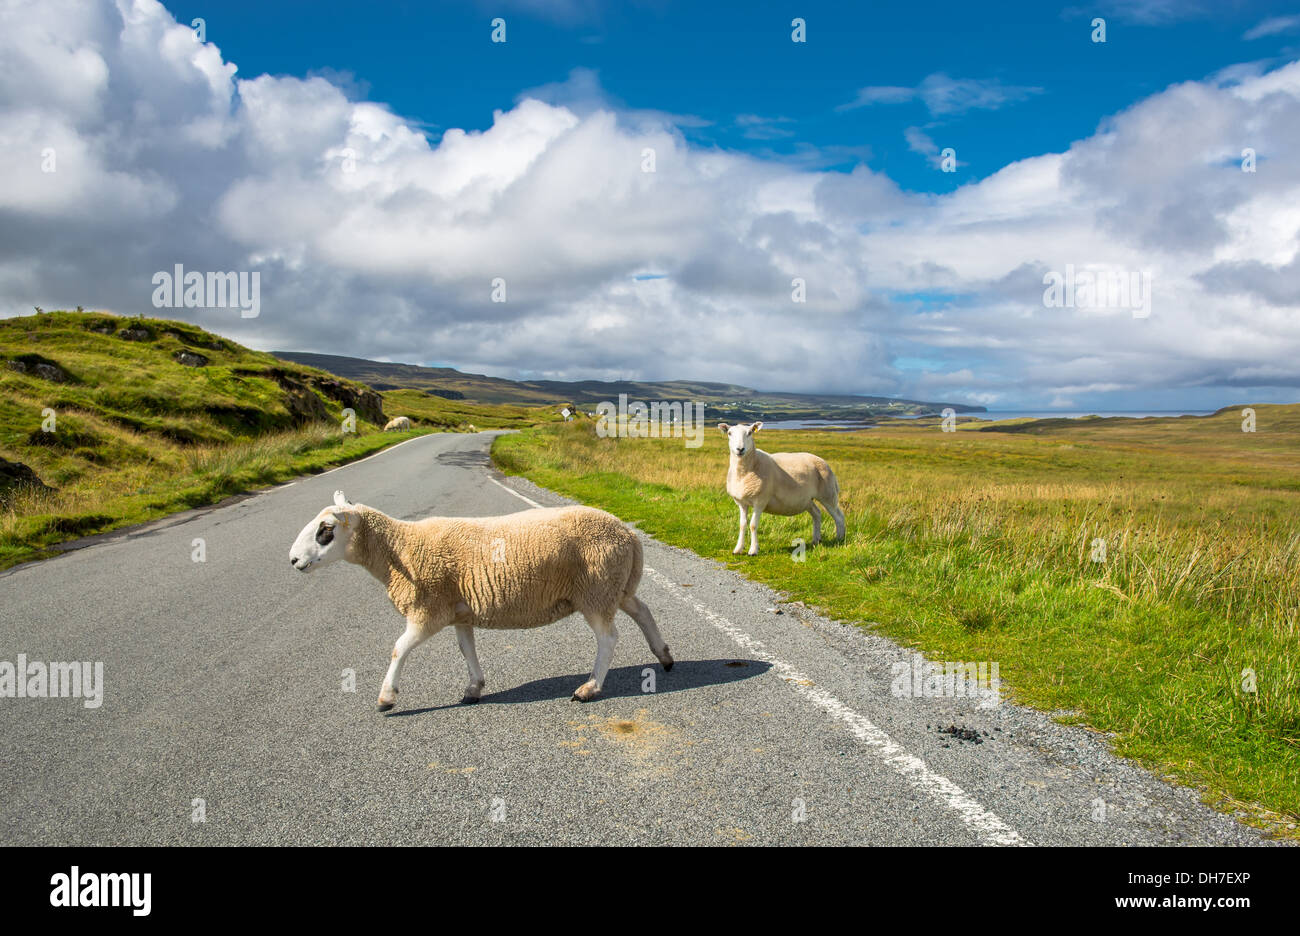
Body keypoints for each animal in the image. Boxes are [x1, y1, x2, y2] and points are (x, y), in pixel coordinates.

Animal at [289, 493, 676, 707]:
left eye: (326, 530)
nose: (293, 560)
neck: (400, 549)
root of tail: (628, 533)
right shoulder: (459, 611)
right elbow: (466, 650)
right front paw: (474, 688)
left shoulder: (428, 609)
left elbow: (400, 648)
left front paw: (387, 697)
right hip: (614, 587)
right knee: (642, 611)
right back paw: (665, 656)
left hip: (595, 589)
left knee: (608, 638)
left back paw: (590, 688)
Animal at [722, 421, 842, 556]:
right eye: (729, 433)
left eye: (750, 433)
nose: (740, 449)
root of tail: (822, 460)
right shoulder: (741, 503)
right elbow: (742, 525)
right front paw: (738, 549)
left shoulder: (760, 501)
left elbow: (753, 525)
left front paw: (753, 550)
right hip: (807, 500)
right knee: (817, 514)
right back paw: (816, 540)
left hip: (828, 493)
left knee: (839, 517)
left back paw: (839, 539)